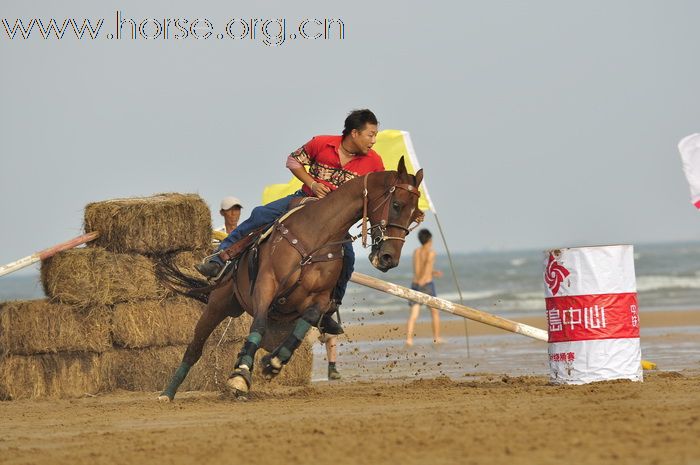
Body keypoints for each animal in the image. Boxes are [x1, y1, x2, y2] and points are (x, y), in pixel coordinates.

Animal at [157, 158, 424, 400]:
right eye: (397, 205)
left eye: (415, 216)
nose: (389, 258)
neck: (316, 237)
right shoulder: (266, 284)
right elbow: (257, 325)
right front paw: (240, 374)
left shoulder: (319, 299)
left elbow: (303, 326)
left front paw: (273, 363)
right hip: (218, 305)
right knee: (195, 348)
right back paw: (168, 393)